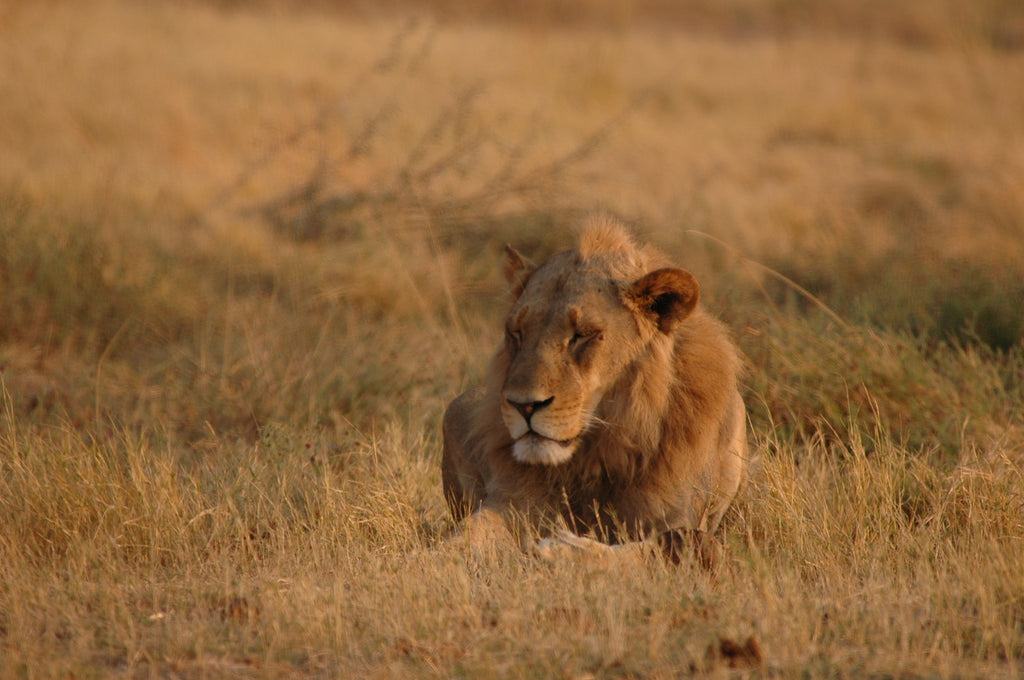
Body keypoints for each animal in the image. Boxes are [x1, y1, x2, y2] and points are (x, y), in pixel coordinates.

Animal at [442, 216, 753, 561]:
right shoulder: (515, 502)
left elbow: (647, 549)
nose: (523, 405)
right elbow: (469, 532)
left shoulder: (674, 515)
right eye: (517, 333)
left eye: (582, 335)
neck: (596, 452)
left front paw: (563, 549)